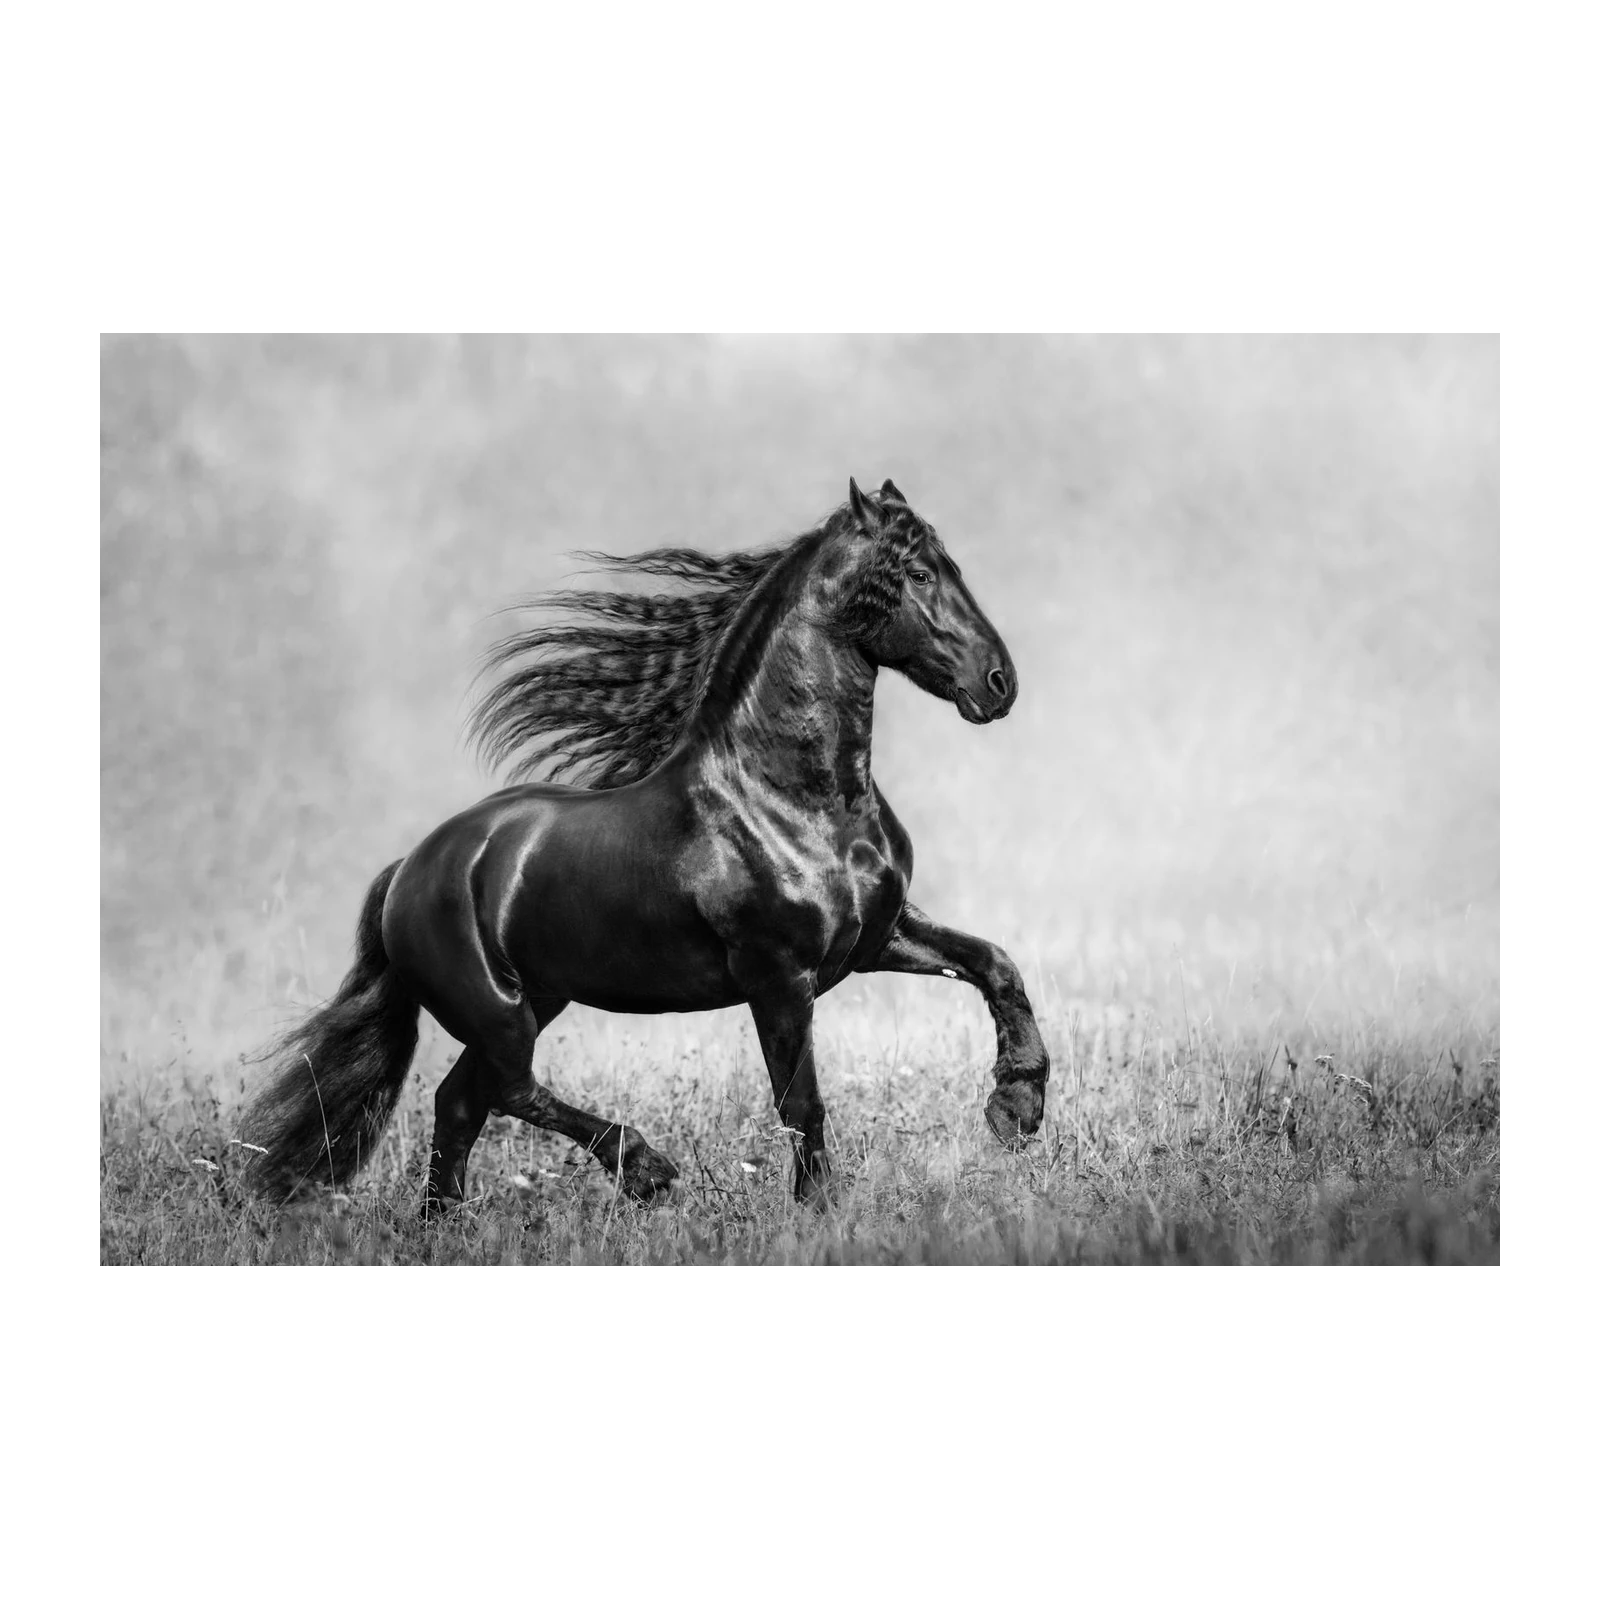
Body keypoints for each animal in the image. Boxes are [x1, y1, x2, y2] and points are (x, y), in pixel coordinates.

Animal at [237, 478, 1050, 1210]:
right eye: (919, 574)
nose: (999, 682)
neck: (796, 800)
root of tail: (410, 869)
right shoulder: (778, 978)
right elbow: (800, 1103)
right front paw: (818, 1211)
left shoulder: (877, 937)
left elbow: (995, 965)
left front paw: (1017, 1107)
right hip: (499, 1009)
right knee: (505, 1088)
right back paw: (643, 1169)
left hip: (539, 996)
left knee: (462, 1101)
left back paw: (444, 1228)